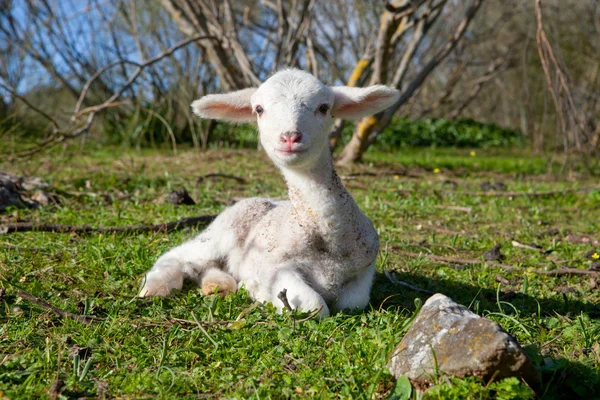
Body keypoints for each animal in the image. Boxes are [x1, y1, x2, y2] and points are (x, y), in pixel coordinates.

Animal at [137, 69, 398, 318]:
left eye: (324, 107)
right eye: (259, 109)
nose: (290, 136)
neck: (327, 242)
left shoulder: (365, 269)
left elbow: (353, 303)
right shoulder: (273, 268)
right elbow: (314, 305)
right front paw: (261, 293)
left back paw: (218, 285)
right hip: (222, 232)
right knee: (178, 255)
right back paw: (155, 287)